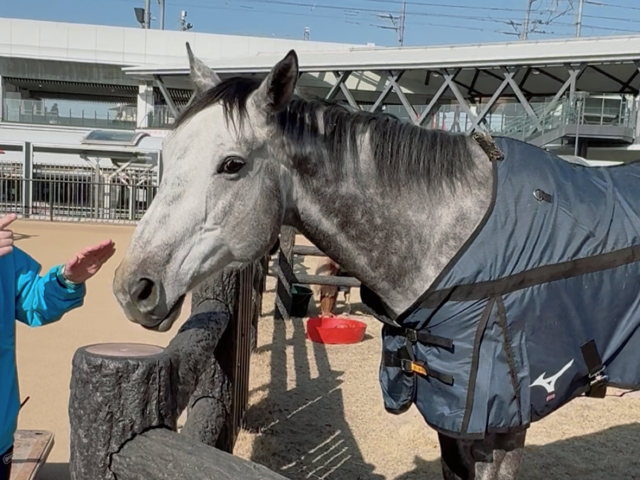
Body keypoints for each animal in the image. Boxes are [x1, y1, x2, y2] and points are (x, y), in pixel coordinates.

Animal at [113, 45, 640, 479]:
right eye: (166, 155)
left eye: (232, 165)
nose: (132, 287)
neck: (452, 243)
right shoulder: (452, 422)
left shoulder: (504, 428)